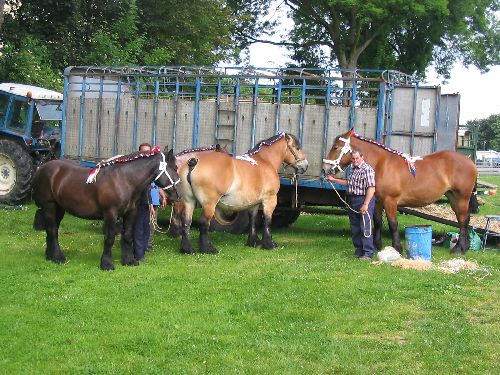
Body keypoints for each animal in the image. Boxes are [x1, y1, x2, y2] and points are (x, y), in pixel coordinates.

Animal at [31, 148, 180, 270]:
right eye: (174, 168)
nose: (177, 195)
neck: (124, 180)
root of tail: (41, 168)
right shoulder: (110, 214)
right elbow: (109, 238)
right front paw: (106, 264)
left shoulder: (131, 213)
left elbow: (127, 236)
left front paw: (129, 261)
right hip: (49, 206)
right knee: (52, 230)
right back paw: (58, 257)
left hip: (59, 208)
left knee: (51, 230)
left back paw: (50, 256)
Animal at [178, 133, 306, 256]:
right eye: (297, 148)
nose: (305, 166)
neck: (265, 162)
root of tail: (194, 162)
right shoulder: (270, 199)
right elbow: (268, 221)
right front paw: (269, 244)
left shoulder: (254, 203)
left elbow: (253, 220)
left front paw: (254, 242)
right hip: (209, 204)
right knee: (204, 223)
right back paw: (208, 249)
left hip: (189, 201)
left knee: (186, 221)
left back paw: (187, 249)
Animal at [322, 130, 478, 256]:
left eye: (335, 147)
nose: (325, 170)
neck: (381, 164)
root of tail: (469, 161)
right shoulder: (378, 200)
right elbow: (377, 221)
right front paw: (377, 245)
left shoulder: (390, 200)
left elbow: (393, 223)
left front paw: (397, 248)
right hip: (453, 197)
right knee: (463, 220)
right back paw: (464, 247)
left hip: (462, 197)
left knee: (463, 220)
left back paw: (458, 249)